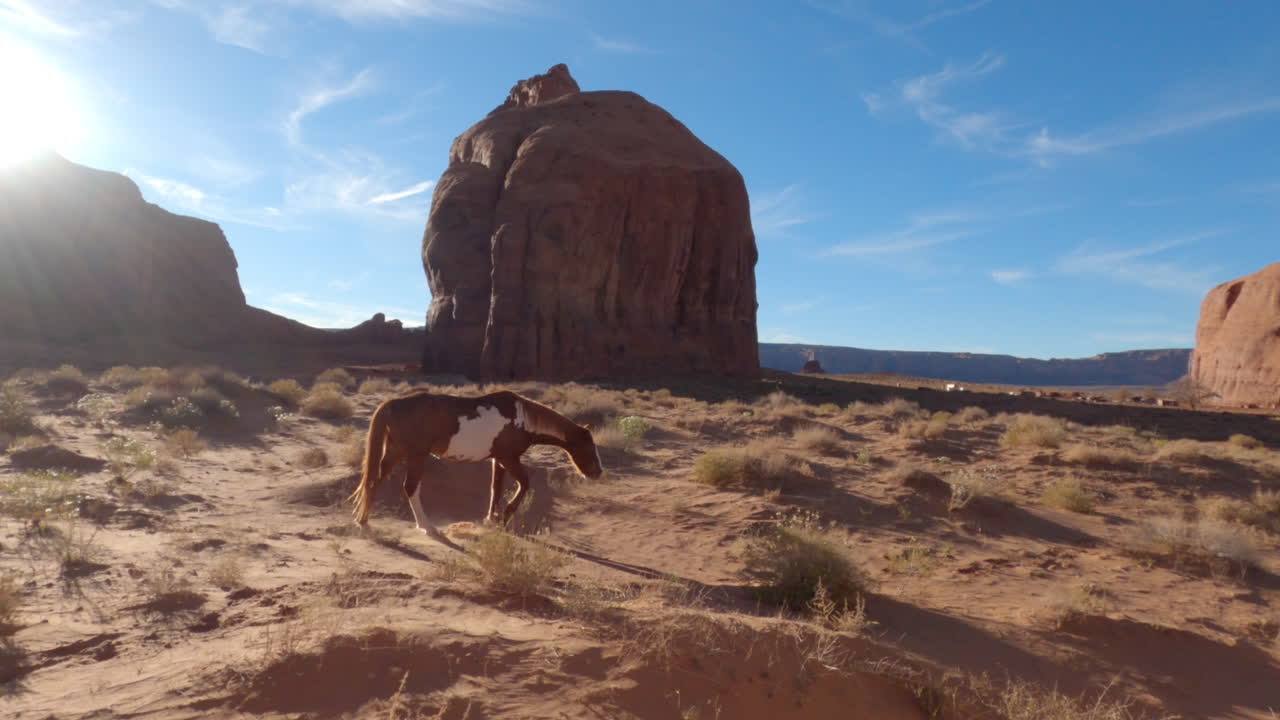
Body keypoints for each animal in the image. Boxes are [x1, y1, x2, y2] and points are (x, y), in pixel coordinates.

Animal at [348, 389, 604, 538]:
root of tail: (392, 403)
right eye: (589, 447)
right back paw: (427, 527)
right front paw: (504, 517)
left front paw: (491, 519)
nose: (597, 473)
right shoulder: (509, 459)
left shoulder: (498, 460)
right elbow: (524, 483)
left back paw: (363, 521)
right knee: (409, 488)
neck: (523, 419)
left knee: (374, 482)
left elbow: (496, 489)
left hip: (395, 453)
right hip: (416, 456)